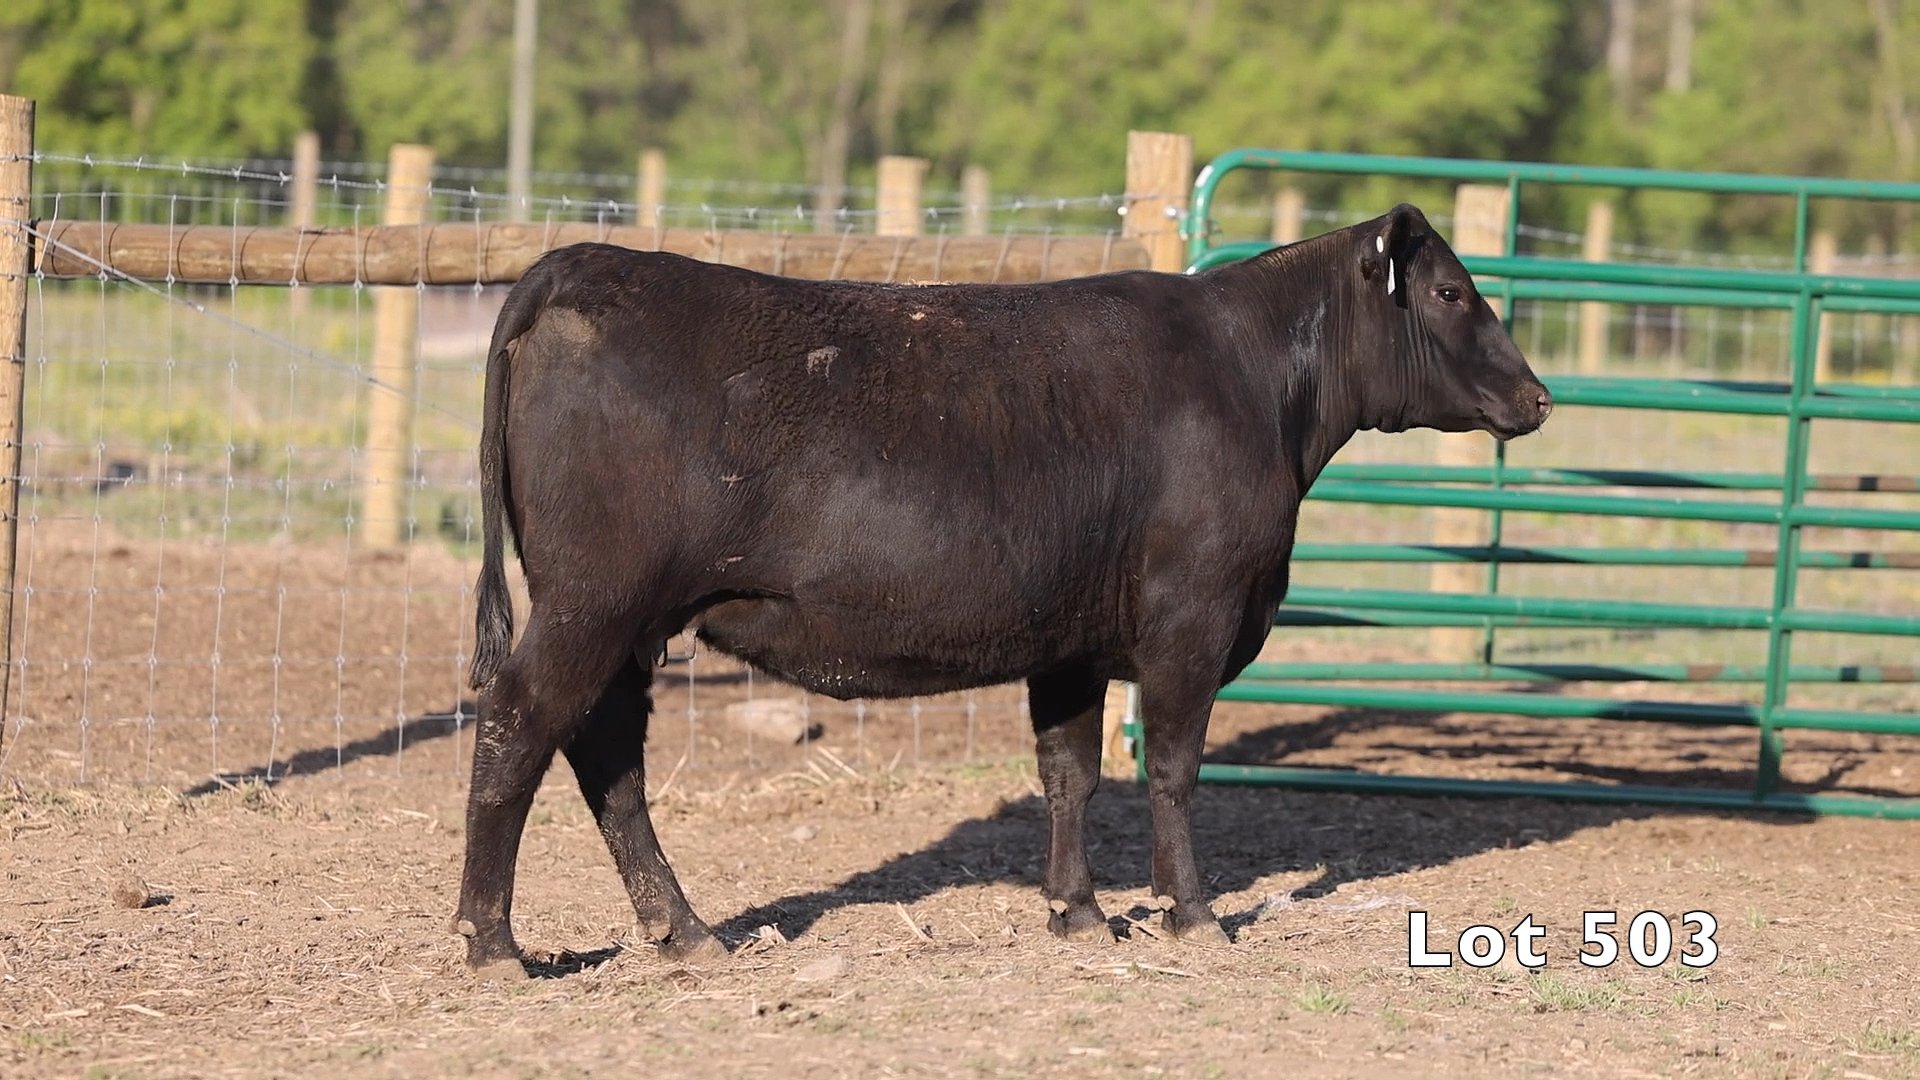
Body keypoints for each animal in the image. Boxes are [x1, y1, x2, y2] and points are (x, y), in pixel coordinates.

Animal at [452, 203, 1551, 975]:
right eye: (1452, 294)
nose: (1539, 395)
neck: (1256, 381)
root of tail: (587, 261)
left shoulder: (1069, 641)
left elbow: (1071, 775)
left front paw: (1079, 913)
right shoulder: (1193, 619)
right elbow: (1173, 771)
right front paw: (1193, 915)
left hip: (627, 620)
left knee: (604, 756)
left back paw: (682, 930)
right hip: (594, 601)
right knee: (519, 721)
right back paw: (492, 942)